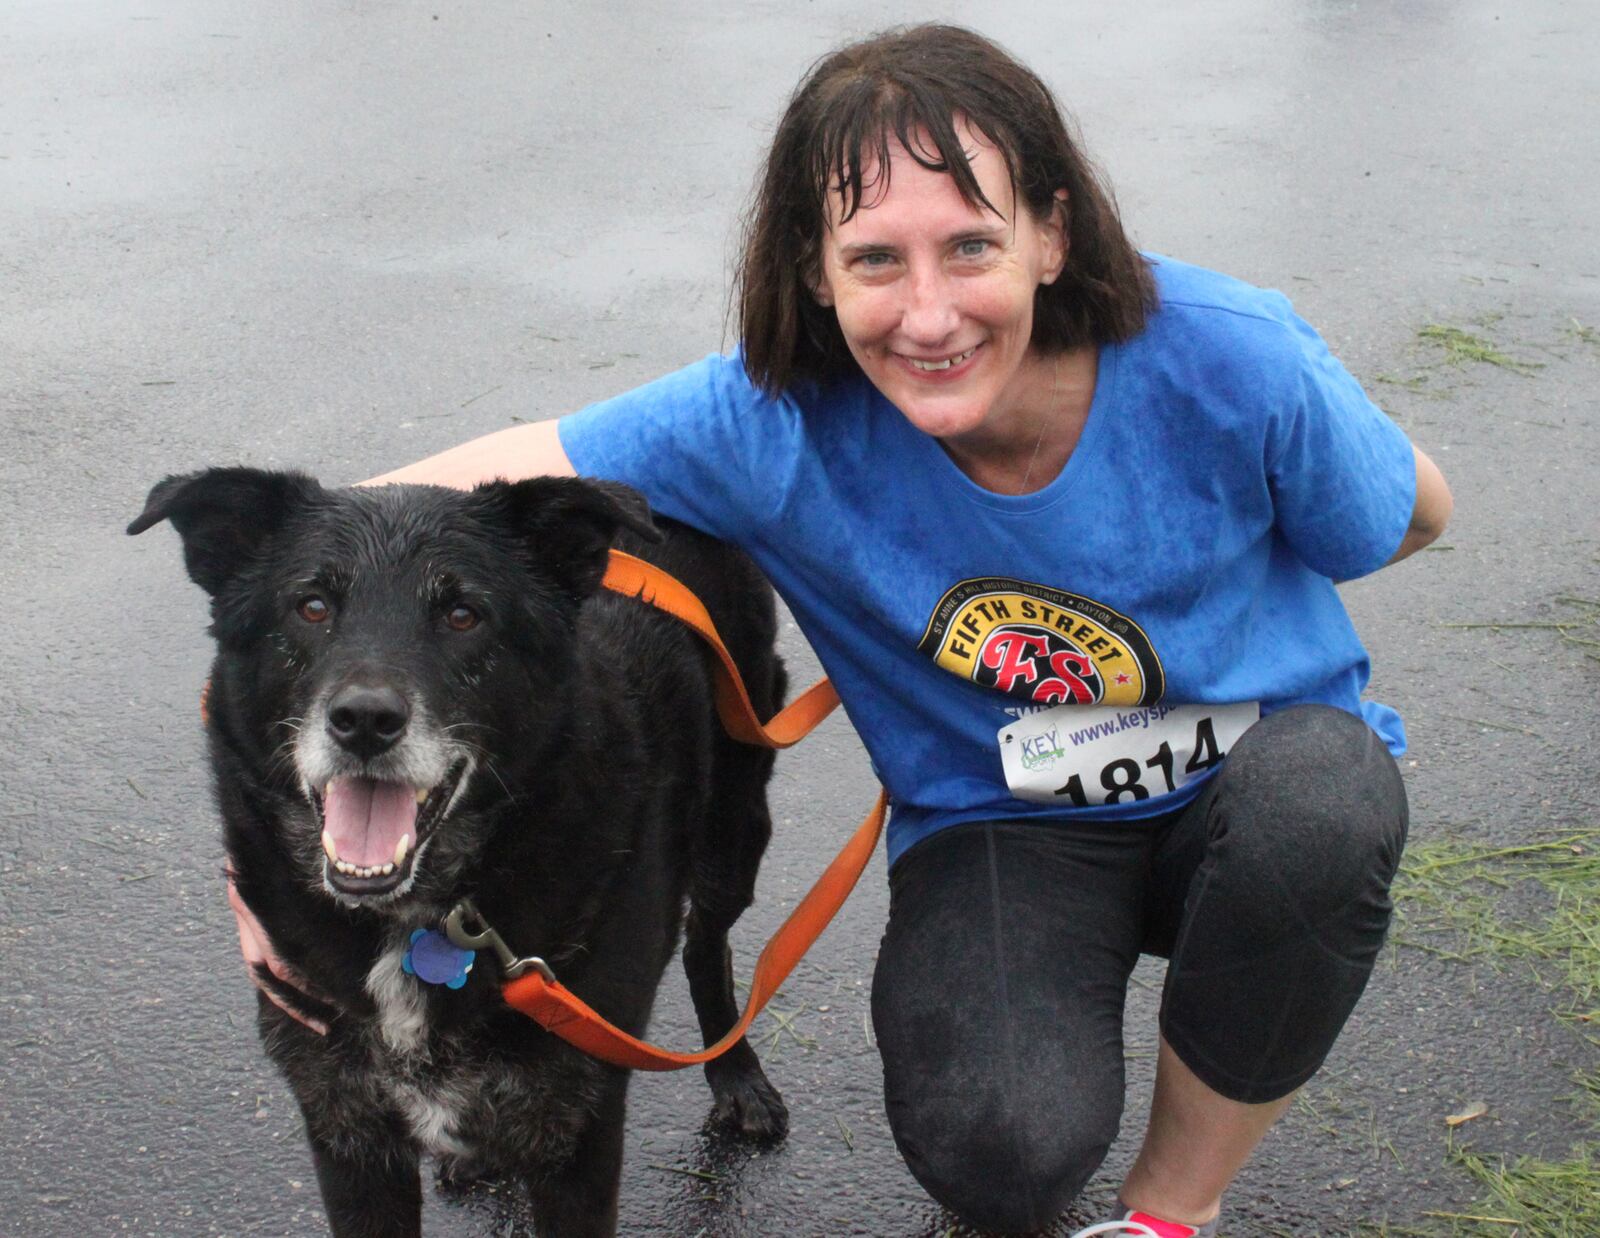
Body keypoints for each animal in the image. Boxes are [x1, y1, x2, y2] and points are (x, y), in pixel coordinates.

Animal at [128, 470, 790, 1234]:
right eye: (311, 606)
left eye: (463, 615)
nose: (364, 721)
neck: (420, 918)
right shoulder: (347, 1130)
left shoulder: (579, 1132)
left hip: (735, 827)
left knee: (707, 946)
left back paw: (737, 1075)